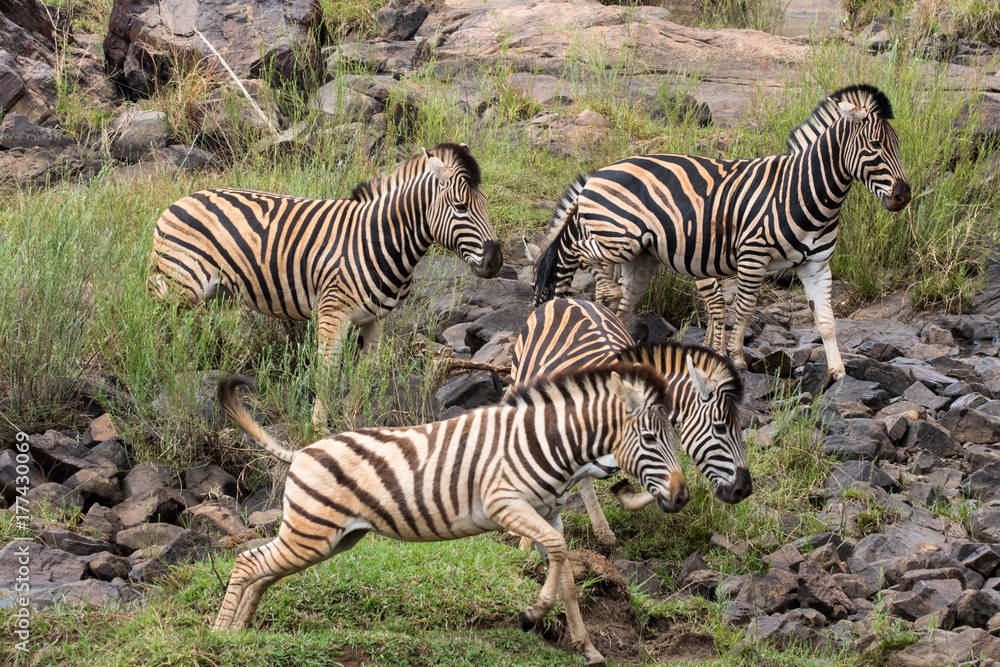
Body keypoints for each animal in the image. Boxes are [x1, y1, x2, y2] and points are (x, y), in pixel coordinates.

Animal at [150, 143, 503, 424]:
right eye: (460, 207)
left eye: (486, 204)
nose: (495, 261)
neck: (377, 240)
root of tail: (180, 201)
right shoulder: (332, 314)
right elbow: (328, 373)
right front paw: (318, 427)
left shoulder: (375, 319)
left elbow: (364, 374)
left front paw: (350, 424)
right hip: (182, 285)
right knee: (162, 324)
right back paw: (166, 370)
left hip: (218, 293)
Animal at [213, 366, 690, 667]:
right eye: (651, 438)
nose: (683, 497)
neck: (547, 443)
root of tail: (301, 452)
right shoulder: (505, 503)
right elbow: (556, 557)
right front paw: (532, 613)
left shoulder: (548, 514)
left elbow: (567, 577)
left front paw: (587, 648)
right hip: (313, 533)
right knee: (248, 562)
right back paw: (221, 635)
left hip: (327, 538)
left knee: (264, 571)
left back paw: (244, 630)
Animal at [511, 297, 748, 549]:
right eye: (720, 428)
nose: (744, 490)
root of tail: (566, 299)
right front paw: (527, 543)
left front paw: (626, 494)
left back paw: (602, 530)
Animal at [532, 84, 911, 383]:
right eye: (874, 147)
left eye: (898, 145)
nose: (903, 196)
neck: (803, 191)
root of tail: (597, 174)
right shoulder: (753, 255)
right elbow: (744, 308)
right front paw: (738, 359)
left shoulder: (816, 265)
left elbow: (827, 320)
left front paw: (838, 372)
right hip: (619, 238)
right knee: (577, 252)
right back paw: (605, 290)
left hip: (641, 257)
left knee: (622, 303)